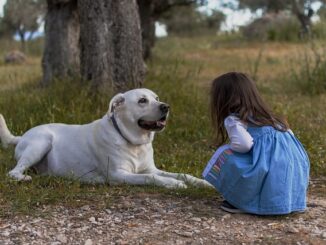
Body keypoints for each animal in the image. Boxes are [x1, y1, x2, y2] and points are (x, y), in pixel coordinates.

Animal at [0, 89, 210, 189]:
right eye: (142, 100)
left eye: (156, 98)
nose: (166, 106)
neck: (133, 142)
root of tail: (21, 136)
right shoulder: (119, 175)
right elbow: (151, 178)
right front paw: (174, 184)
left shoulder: (151, 168)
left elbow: (182, 174)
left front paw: (201, 182)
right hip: (42, 142)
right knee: (13, 172)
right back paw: (24, 177)